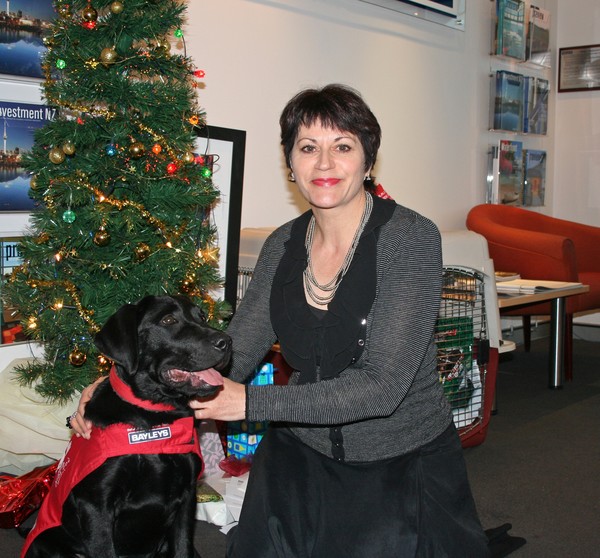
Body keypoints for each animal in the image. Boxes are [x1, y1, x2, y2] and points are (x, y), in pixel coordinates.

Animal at [22, 296, 232, 556]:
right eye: (168, 320)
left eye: (202, 316)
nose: (226, 342)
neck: (154, 419)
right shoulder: (96, 504)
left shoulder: (186, 496)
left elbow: (182, 546)